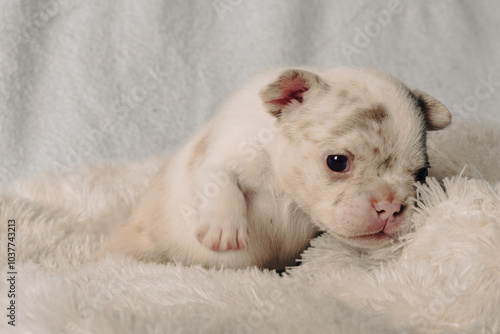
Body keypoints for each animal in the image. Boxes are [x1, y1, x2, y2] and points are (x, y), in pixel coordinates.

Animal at [103, 66, 452, 270]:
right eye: (337, 162)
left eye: (421, 175)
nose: (390, 206)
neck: (282, 183)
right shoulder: (221, 155)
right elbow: (219, 178)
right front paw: (222, 228)